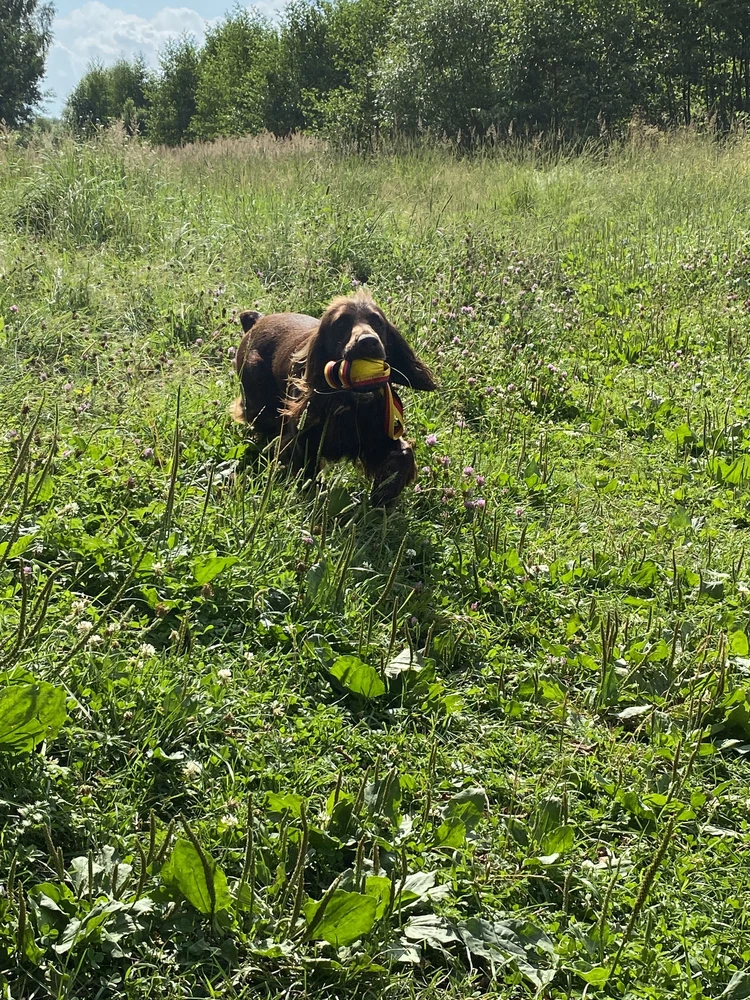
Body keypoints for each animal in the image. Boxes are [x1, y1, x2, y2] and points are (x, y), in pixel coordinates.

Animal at [232, 292, 438, 504]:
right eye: (341, 323)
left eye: (378, 322)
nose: (368, 341)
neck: (350, 406)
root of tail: (257, 321)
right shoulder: (301, 440)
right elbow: (308, 476)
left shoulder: (378, 437)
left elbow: (403, 454)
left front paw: (383, 496)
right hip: (259, 400)